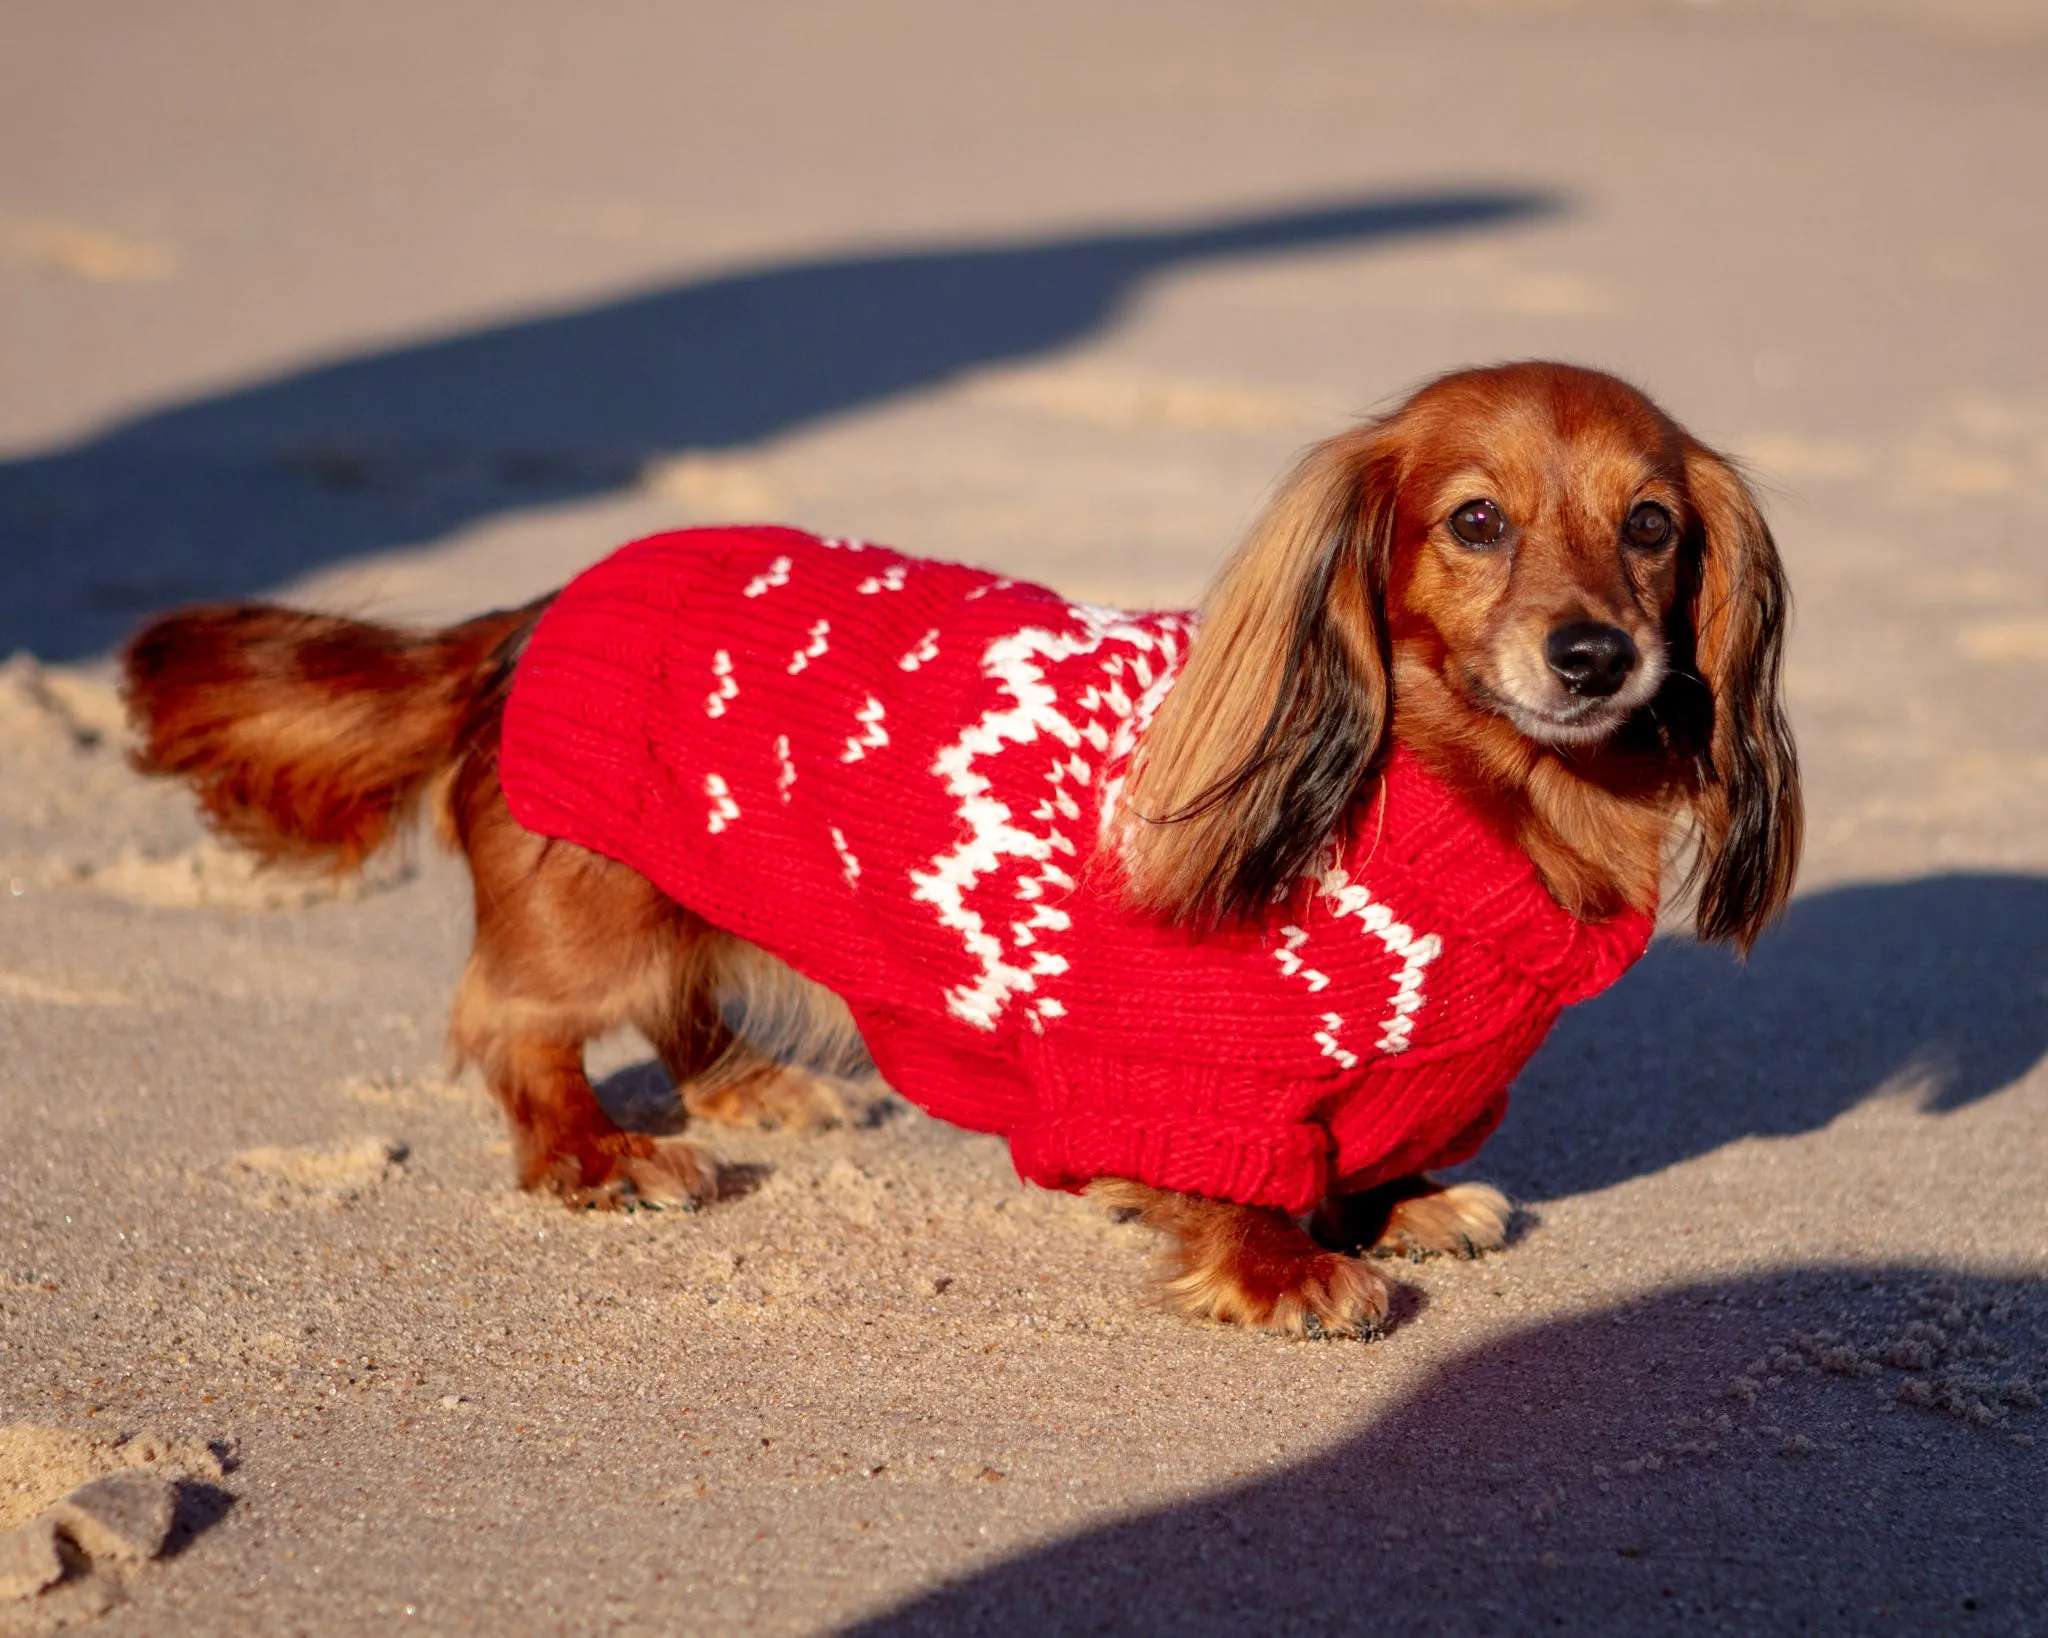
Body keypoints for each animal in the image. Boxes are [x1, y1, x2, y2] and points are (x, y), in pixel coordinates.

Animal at [119, 364, 1802, 1334]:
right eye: (1473, 522)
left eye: (1653, 525)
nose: (1594, 657)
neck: (1470, 799)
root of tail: (534, 609)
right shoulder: (1202, 1071)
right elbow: (1245, 1185)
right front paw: (1287, 1266)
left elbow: (1350, 1151)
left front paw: (1397, 1202)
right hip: (583, 904)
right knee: (517, 1032)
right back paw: (599, 1154)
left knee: (684, 994)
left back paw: (750, 1084)